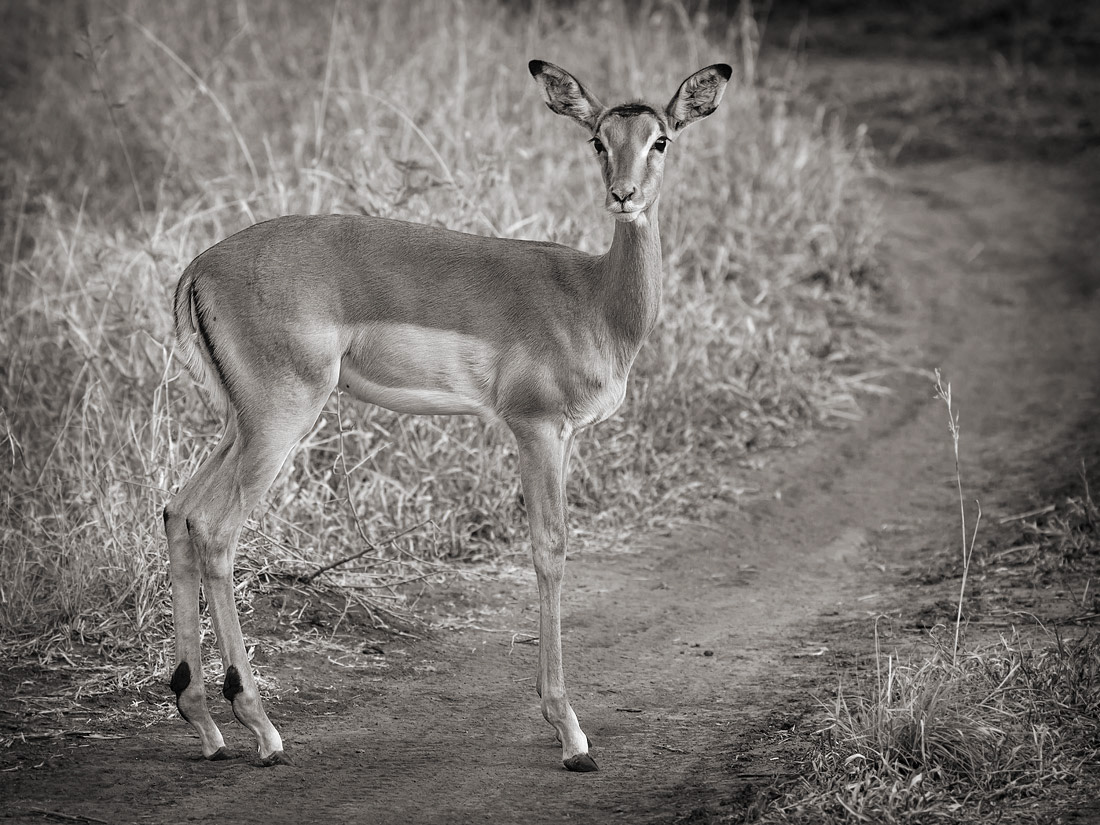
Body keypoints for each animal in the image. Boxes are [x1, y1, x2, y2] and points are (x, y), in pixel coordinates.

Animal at [164, 59, 731, 772]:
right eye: (599, 139)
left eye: (661, 140)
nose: (623, 195)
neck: (593, 298)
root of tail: (199, 268)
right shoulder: (535, 428)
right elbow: (550, 549)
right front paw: (571, 734)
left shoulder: (565, 437)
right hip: (279, 418)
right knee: (216, 528)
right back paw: (261, 729)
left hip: (238, 424)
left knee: (178, 510)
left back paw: (204, 723)